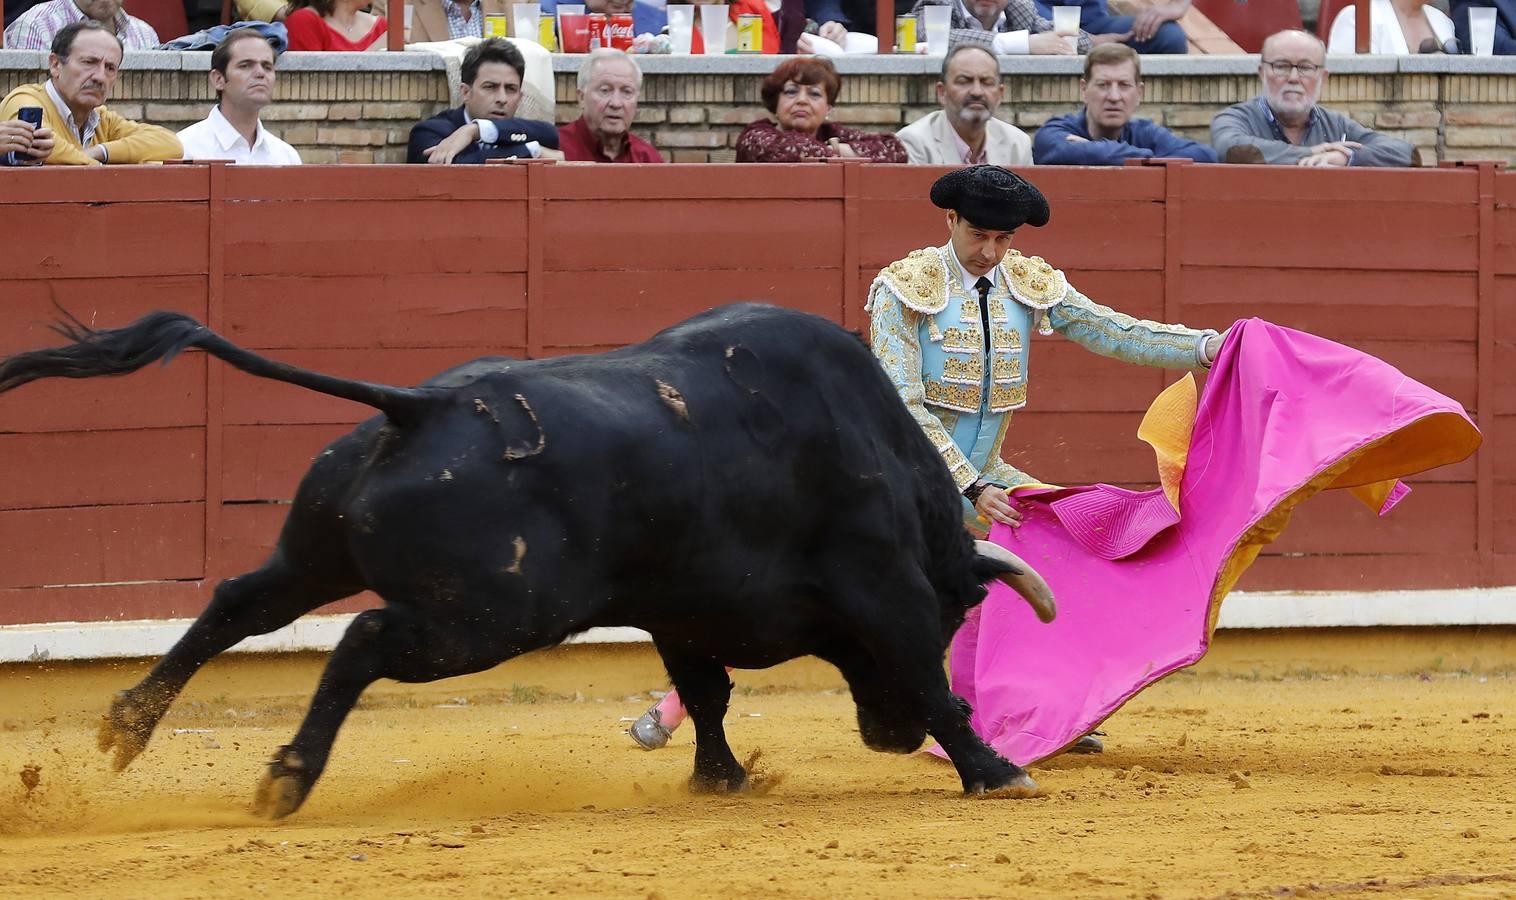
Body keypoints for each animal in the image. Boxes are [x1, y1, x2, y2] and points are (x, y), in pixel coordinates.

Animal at [0, 301, 1061, 812]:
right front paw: (995, 769)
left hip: (318, 552)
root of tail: (420, 406)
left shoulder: (679, 609)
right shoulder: (883, 589)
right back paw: (288, 776)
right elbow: (925, 676)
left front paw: (720, 778)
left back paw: (128, 724)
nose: (885, 740)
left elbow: (706, 692)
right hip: (491, 616)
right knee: (365, 640)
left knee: (239, 601)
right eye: (960, 611)